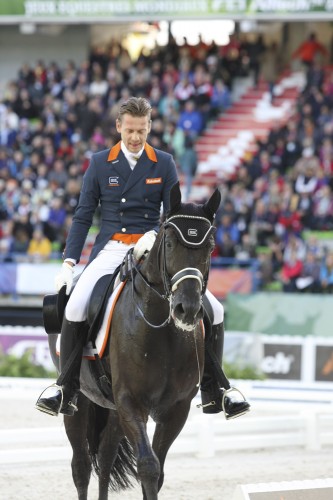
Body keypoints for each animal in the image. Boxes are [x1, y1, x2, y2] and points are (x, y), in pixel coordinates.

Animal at [48, 184, 219, 500]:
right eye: (169, 244)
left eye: (210, 246)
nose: (187, 309)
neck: (163, 330)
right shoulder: (131, 401)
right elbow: (148, 466)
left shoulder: (176, 408)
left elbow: (157, 471)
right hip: (79, 401)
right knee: (81, 465)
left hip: (113, 408)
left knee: (105, 456)